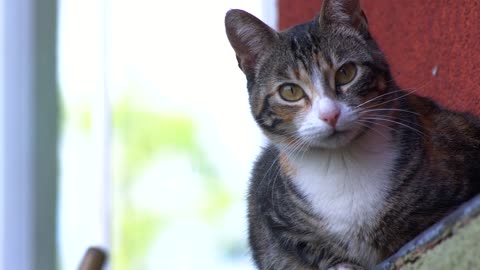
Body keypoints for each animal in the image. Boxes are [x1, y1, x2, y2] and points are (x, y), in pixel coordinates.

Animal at [225, 0, 480, 270]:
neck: (343, 163)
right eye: (290, 91)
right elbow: (303, 250)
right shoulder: (268, 211)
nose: (330, 114)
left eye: (346, 72)